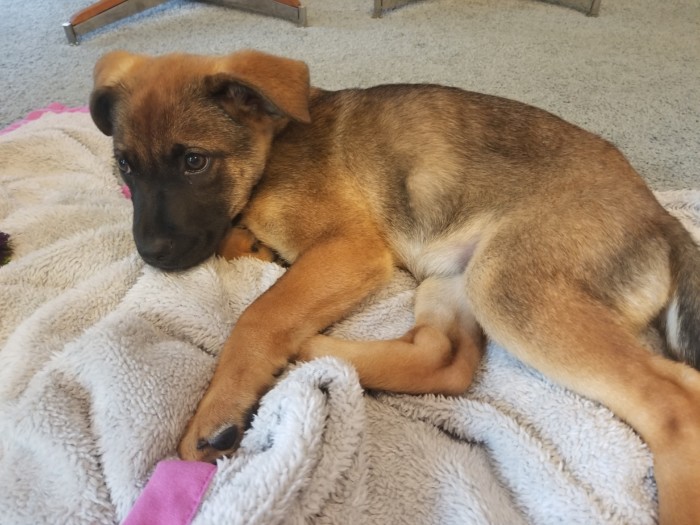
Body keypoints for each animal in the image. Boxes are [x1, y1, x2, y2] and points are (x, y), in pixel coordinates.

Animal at [90, 50, 700, 524]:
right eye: (126, 166)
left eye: (194, 161)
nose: (152, 255)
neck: (273, 148)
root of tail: (662, 220)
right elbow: (235, 247)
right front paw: (254, 247)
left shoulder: (350, 249)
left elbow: (259, 315)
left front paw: (216, 410)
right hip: (451, 276)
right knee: (444, 361)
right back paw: (315, 350)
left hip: (505, 283)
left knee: (673, 400)